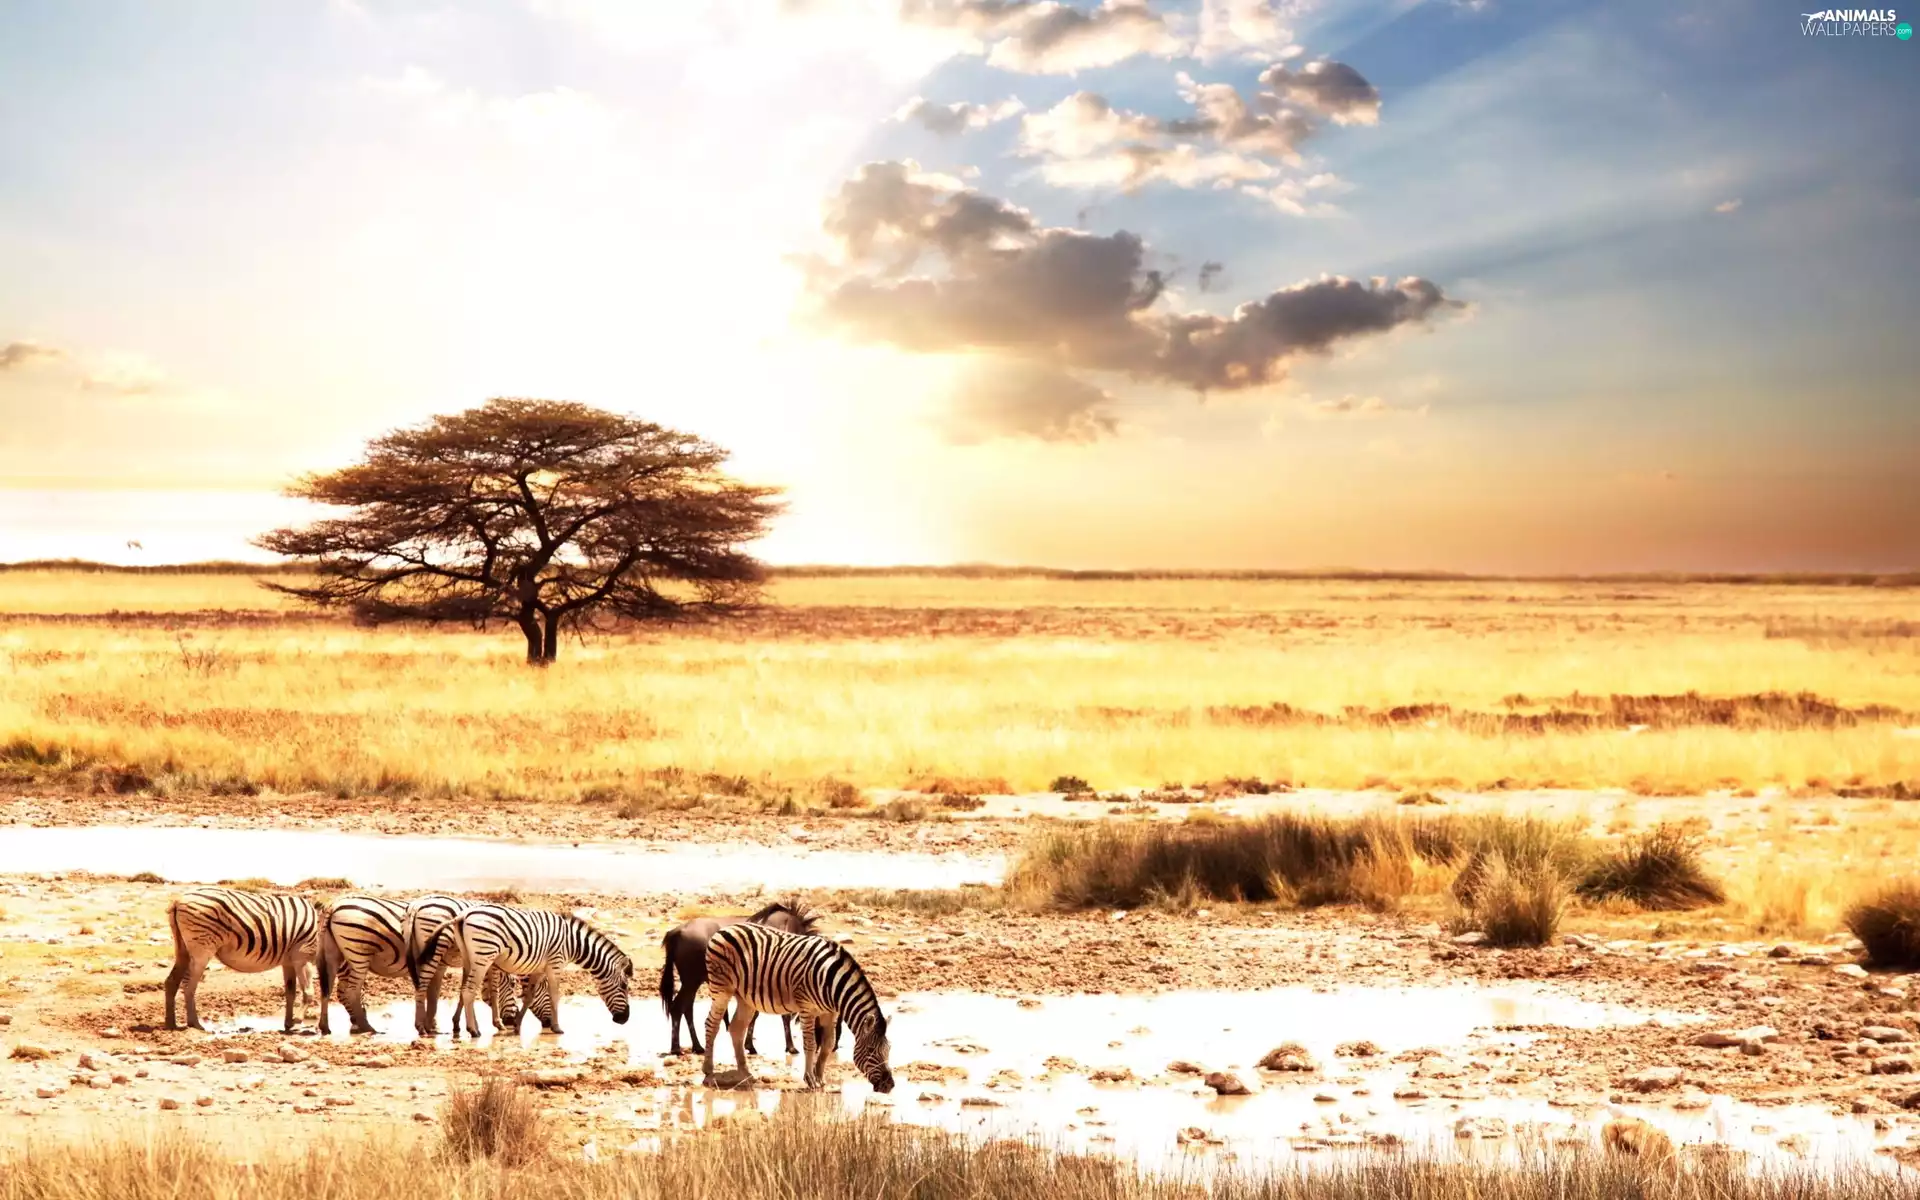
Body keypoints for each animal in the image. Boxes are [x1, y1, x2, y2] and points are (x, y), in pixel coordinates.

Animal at [163, 886, 320, 1033]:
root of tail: (179, 899)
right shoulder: (303, 956)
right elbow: (308, 992)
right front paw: (297, 1020)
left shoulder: (288, 961)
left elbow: (290, 992)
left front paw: (288, 1024)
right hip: (202, 949)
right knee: (188, 985)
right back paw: (195, 1024)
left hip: (182, 948)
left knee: (171, 981)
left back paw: (171, 1024)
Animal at [318, 895, 551, 1036]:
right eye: (513, 987)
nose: (549, 1023)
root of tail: (333, 905)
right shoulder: (485, 958)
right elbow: (491, 990)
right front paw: (496, 1023)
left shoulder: (459, 961)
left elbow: (453, 992)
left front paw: (448, 1024)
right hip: (359, 953)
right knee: (349, 990)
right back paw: (367, 1026)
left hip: (336, 954)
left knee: (330, 989)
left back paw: (331, 1026)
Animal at [422, 903, 633, 1038]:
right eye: (624, 986)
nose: (624, 1020)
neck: (573, 943)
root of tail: (462, 916)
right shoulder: (555, 964)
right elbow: (555, 995)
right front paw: (557, 1027)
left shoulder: (540, 968)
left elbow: (530, 996)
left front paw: (517, 1025)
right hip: (484, 956)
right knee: (468, 992)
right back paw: (474, 1030)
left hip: (469, 957)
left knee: (464, 990)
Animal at [701, 922, 894, 1093]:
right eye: (871, 1051)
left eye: (889, 1049)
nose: (889, 1085)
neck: (831, 982)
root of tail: (724, 928)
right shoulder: (807, 1008)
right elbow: (810, 1044)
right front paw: (810, 1079)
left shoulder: (830, 1013)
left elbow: (828, 1044)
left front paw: (820, 1078)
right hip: (721, 989)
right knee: (712, 1024)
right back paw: (709, 1073)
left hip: (745, 998)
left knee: (736, 1029)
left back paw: (746, 1074)